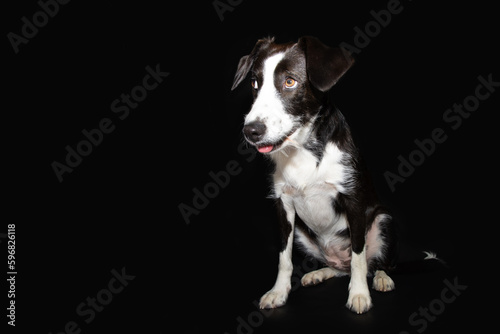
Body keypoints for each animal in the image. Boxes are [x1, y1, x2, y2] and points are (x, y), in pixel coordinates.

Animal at [231, 36, 398, 314]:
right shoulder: (283, 205)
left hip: (382, 219)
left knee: (376, 263)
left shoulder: (354, 202)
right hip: (303, 233)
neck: (302, 149)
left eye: (290, 81)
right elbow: (284, 257)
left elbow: (359, 255)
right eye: (255, 83)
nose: (251, 131)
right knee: (340, 269)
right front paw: (278, 292)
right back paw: (319, 273)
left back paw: (381, 278)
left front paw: (359, 294)